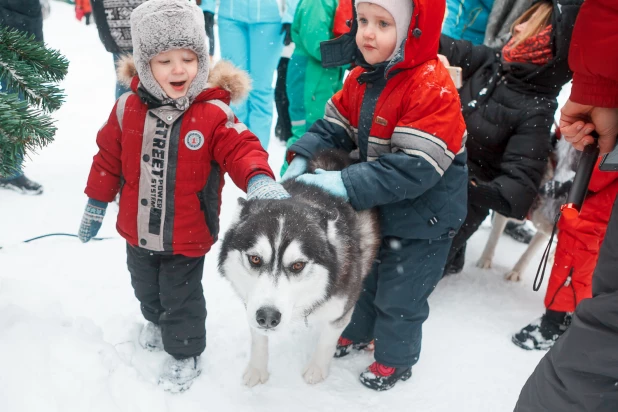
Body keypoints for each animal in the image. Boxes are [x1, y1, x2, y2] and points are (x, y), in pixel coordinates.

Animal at [217, 150, 380, 386]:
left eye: (297, 265)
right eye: (255, 259)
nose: (267, 316)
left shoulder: (341, 307)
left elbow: (327, 341)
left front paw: (316, 369)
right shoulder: (251, 301)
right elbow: (258, 339)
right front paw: (257, 369)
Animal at [474, 137, 580, 282]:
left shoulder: (546, 229)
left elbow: (528, 254)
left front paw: (516, 272)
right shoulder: (505, 210)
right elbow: (493, 237)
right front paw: (485, 260)